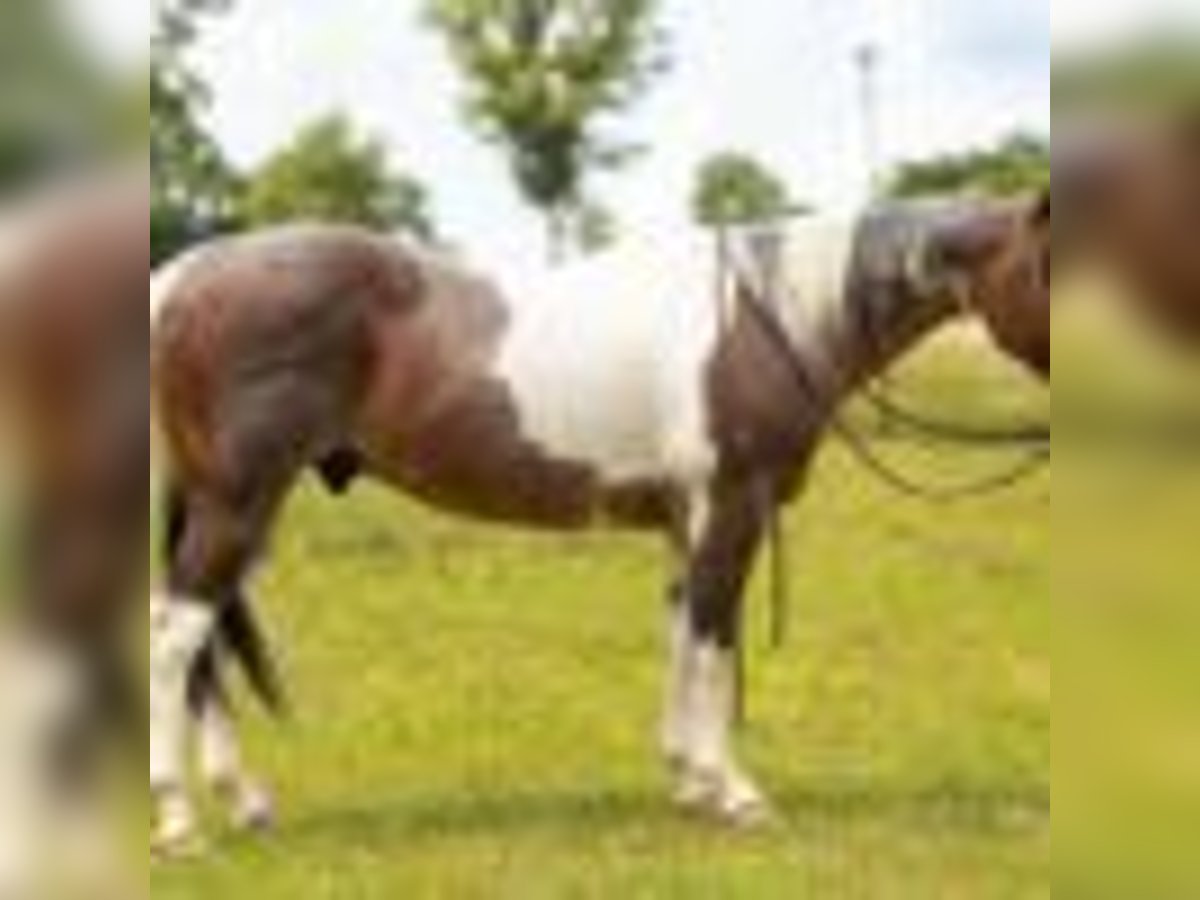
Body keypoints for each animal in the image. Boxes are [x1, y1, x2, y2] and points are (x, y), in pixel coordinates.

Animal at [147, 192, 1048, 853]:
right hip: (238, 502)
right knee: (175, 639)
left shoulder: (687, 521)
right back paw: (181, 822)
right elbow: (715, 644)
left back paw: (242, 800)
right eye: (1047, 261)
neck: (772, 316)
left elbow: (683, 636)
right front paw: (735, 792)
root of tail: (180, 280)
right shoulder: (731, 507)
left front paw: (688, 780)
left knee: (204, 646)